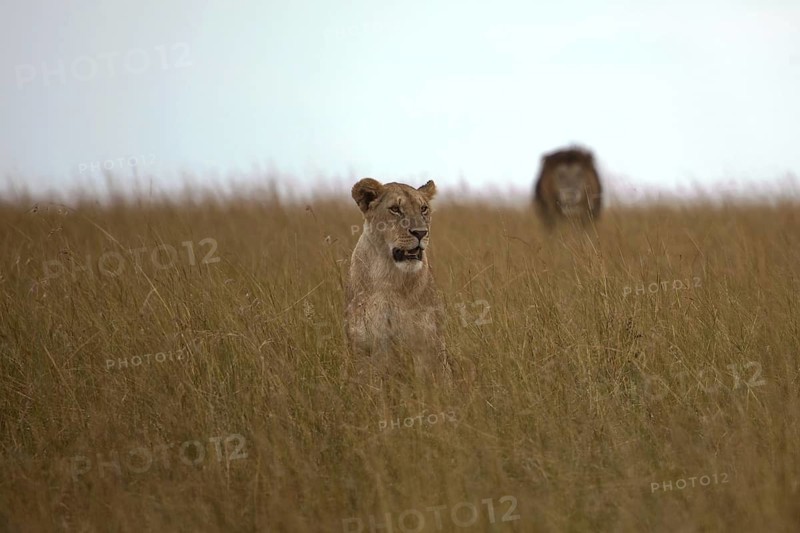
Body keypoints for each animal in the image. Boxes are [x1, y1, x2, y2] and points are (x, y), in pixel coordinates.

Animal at [344, 178, 449, 383]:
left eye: (423, 208)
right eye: (395, 209)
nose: (421, 233)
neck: (389, 277)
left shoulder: (427, 343)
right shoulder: (365, 346)